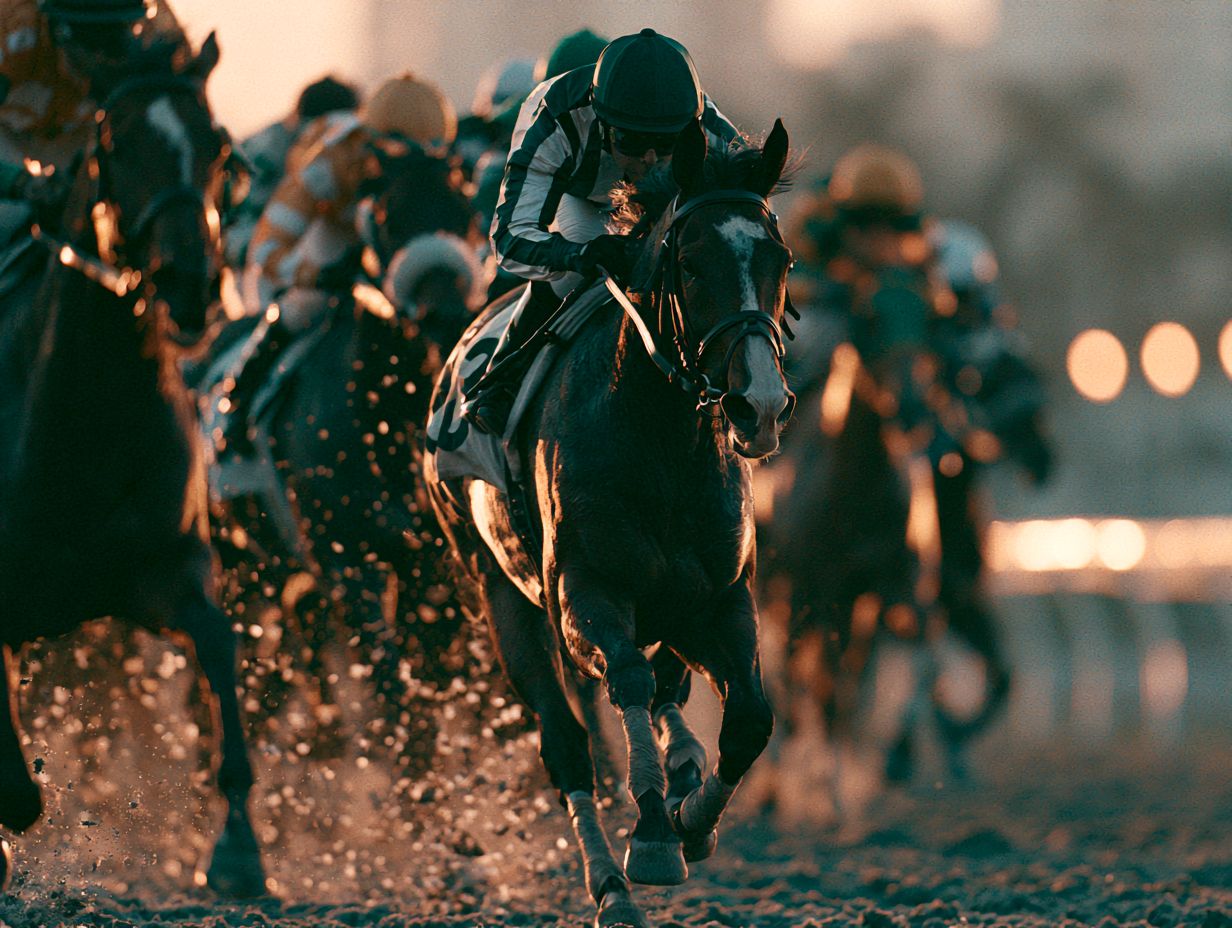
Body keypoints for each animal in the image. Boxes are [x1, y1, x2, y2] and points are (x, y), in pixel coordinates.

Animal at [0, 36, 264, 896]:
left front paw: (238, 848)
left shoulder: (163, 565)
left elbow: (216, 642)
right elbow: (19, 785)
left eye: (216, 146)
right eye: (119, 145)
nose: (189, 281)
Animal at [199, 147, 481, 776]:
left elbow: (430, 684)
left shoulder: (430, 567)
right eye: (388, 218)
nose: (447, 315)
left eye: (464, 208)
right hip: (232, 567)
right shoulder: (352, 567)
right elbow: (401, 703)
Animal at [427, 120, 795, 928]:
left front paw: (692, 817)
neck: (662, 443)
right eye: (690, 263)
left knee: (666, 690)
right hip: (499, 594)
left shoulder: (720, 601)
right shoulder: (584, 596)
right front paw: (655, 834)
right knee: (568, 742)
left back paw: (684, 771)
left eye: (780, 259)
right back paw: (611, 887)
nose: (759, 404)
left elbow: (750, 718)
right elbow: (623, 678)